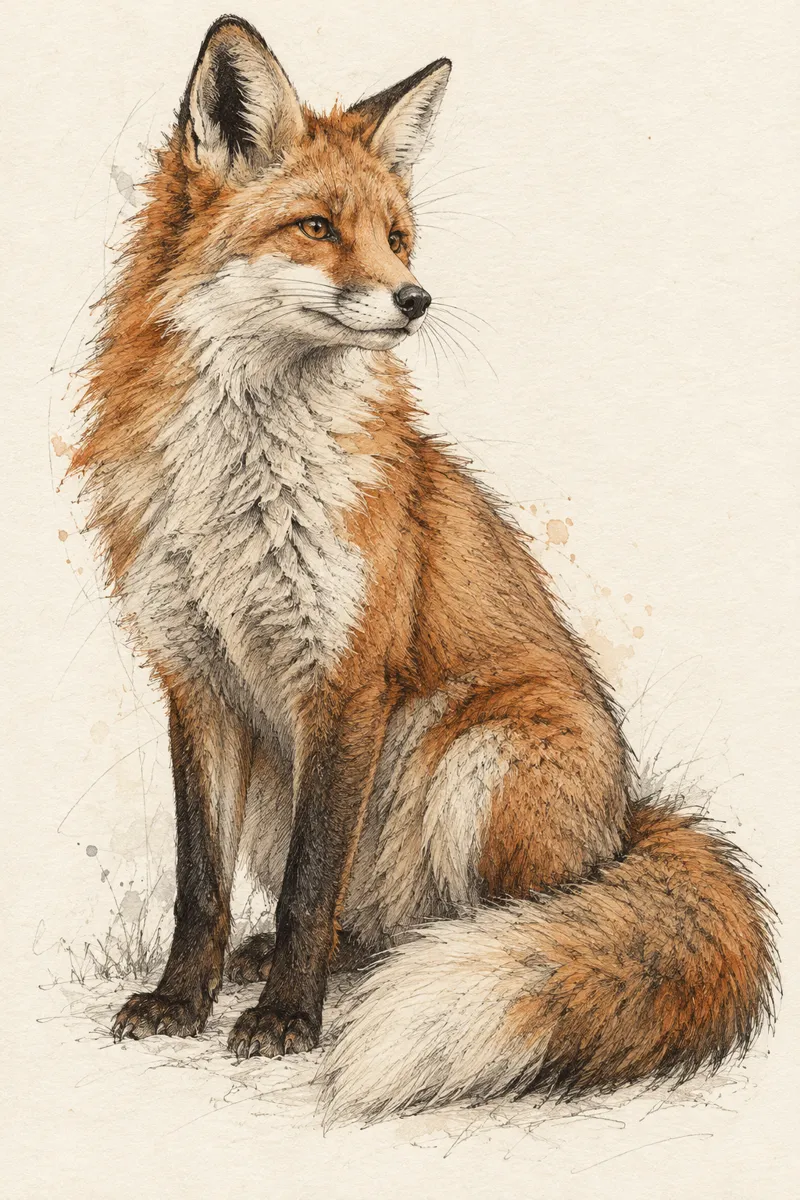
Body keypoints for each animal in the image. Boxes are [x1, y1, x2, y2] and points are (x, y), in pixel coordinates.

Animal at [74, 14, 777, 1123]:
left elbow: (311, 881)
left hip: (478, 757)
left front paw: (287, 1020)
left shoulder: (345, 678)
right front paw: (182, 1000)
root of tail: (628, 822)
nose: (415, 298)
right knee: (366, 923)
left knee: (501, 923)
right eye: (317, 227)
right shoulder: (194, 678)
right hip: (296, 780)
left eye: (398, 237)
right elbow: (201, 882)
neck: (243, 482)